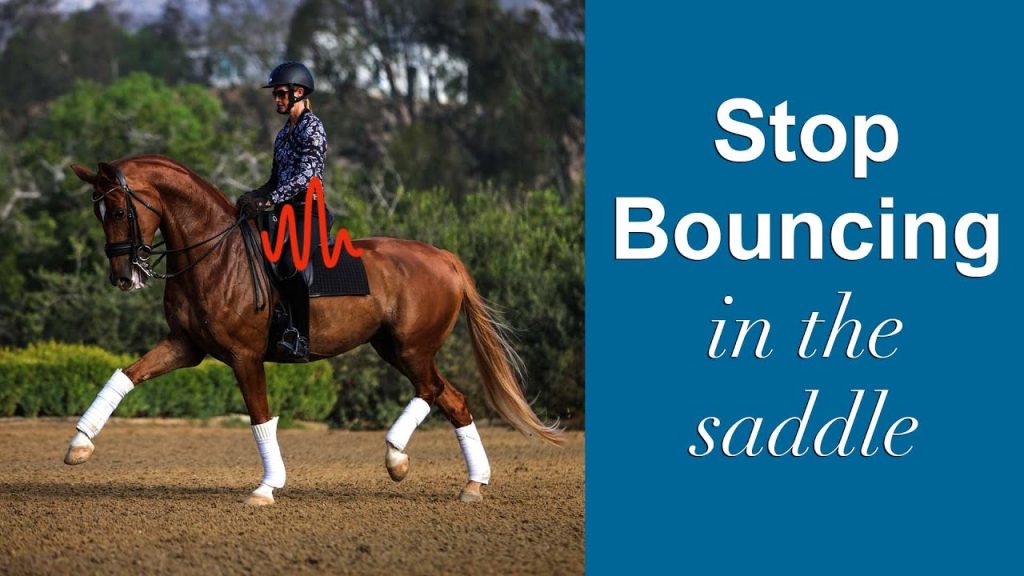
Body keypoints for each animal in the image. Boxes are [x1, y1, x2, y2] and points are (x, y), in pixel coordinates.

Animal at [66, 155, 563, 505]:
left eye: (118, 211)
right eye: (98, 214)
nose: (123, 277)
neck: (216, 255)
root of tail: (443, 257)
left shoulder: (244, 357)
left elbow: (261, 418)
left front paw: (267, 487)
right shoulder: (186, 347)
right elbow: (125, 376)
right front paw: (78, 446)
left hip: (412, 348)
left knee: (435, 391)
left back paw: (398, 457)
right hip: (393, 347)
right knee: (451, 399)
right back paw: (469, 482)